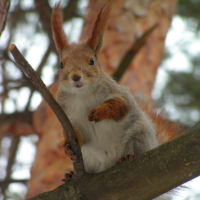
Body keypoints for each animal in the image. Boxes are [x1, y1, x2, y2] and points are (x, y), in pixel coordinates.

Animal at [50, 1, 179, 173]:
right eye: (61, 64)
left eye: (91, 61)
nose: (76, 77)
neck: (82, 93)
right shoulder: (68, 114)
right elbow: (77, 135)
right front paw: (68, 146)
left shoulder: (118, 92)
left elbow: (122, 106)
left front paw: (101, 111)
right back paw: (70, 175)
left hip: (139, 134)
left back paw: (127, 157)